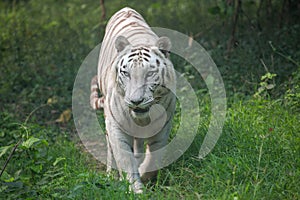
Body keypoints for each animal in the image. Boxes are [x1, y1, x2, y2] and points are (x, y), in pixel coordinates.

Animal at [90, 7, 177, 193]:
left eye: (150, 73)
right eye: (126, 73)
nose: (136, 101)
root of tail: (125, 9)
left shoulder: (163, 124)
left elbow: (155, 156)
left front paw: (144, 174)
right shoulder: (116, 125)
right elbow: (125, 158)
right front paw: (136, 189)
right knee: (110, 148)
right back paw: (110, 174)